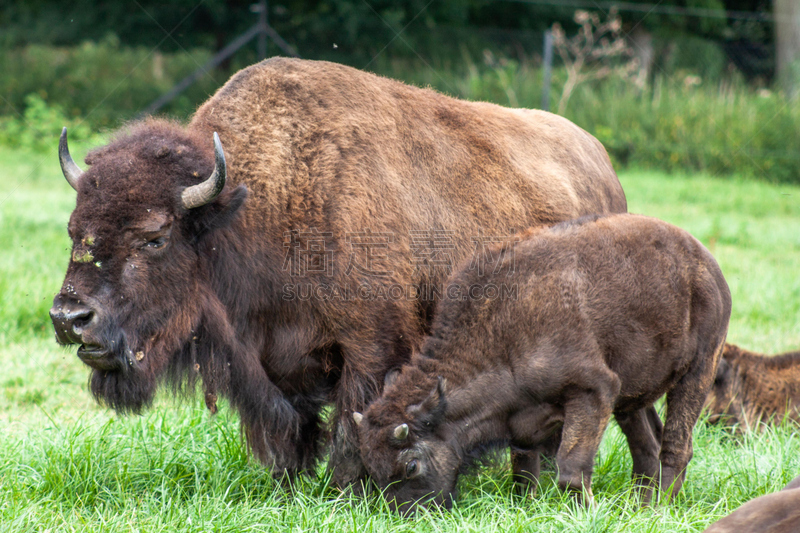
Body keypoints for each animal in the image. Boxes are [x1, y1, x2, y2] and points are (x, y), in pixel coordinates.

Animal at [48, 56, 632, 484]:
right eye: (75, 229)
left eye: (155, 237)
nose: (70, 318)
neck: (257, 209)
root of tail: (602, 166)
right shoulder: (267, 364)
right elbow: (288, 431)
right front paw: (289, 485)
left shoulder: (371, 349)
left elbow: (353, 426)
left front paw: (346, 488)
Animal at [356, 213, 732, 512]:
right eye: (372, 470)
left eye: (411, 466)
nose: (407, 514)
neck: (502, 330)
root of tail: (708, 265)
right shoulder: (524, 425)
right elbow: (524, 471)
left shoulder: (593, 390)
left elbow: (571, 468)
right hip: (631, 395)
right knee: (646, 446)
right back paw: (640, 505)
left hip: (698, 371)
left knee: (676, 446)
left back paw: (660, 507)